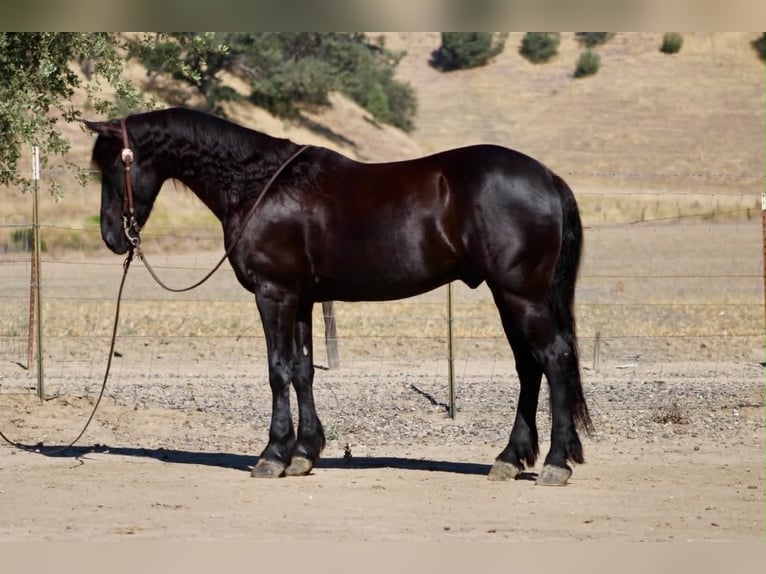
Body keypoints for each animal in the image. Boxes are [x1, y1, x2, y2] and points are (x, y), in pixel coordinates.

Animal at [84, 107, 592, 486]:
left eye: (112, 166)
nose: (112, 237)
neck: (257, 183)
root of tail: (549, 179)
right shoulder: (303, 299)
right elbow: (303, 370)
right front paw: (304, 453)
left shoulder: (274, 294)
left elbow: (277, 370)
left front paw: (272, 454)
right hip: (510, 297)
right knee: (529, 367)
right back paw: (510, 458)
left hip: (520, 295)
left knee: (554, 358)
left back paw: (554, 463)